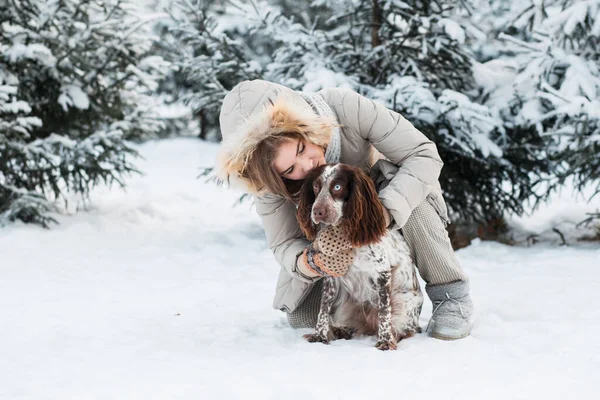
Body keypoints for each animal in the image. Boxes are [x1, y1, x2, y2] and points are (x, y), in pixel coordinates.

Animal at [296, 162, 422, 350]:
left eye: (337, 186)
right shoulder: (331, 275)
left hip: (404, 300)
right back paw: (341, 330)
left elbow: (384, 311)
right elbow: (324, 307)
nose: (317, 211)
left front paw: (385, 341)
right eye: (316, 186)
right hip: (348, 304)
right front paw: (320, 335)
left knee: (405, 329)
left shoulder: (382, 272)